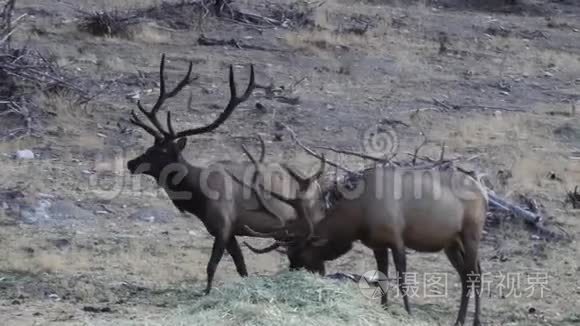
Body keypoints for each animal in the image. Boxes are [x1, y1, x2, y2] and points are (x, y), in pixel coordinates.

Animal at [125, 54, 328, 296]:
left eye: (161, 151)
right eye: (150, 147)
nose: (130, 163)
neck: (197, 197)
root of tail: (318, 188)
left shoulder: (222, 225)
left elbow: (211, 265)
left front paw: (206, 293)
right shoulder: (230, 231)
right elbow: (241, 267)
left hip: (306, 225)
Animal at [240, 155, 490, 326]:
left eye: (301, 255)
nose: (294, 276)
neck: (358, 219)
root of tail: (484, 192)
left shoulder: (397, 238)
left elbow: (401, 279)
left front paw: (408, 313)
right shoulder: (378, 244)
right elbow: (382, 278)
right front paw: (385, 309)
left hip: (471, 233)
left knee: (474, 274)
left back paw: (470, 321)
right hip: (451, 243)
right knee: (470, 273)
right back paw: (465, 319)